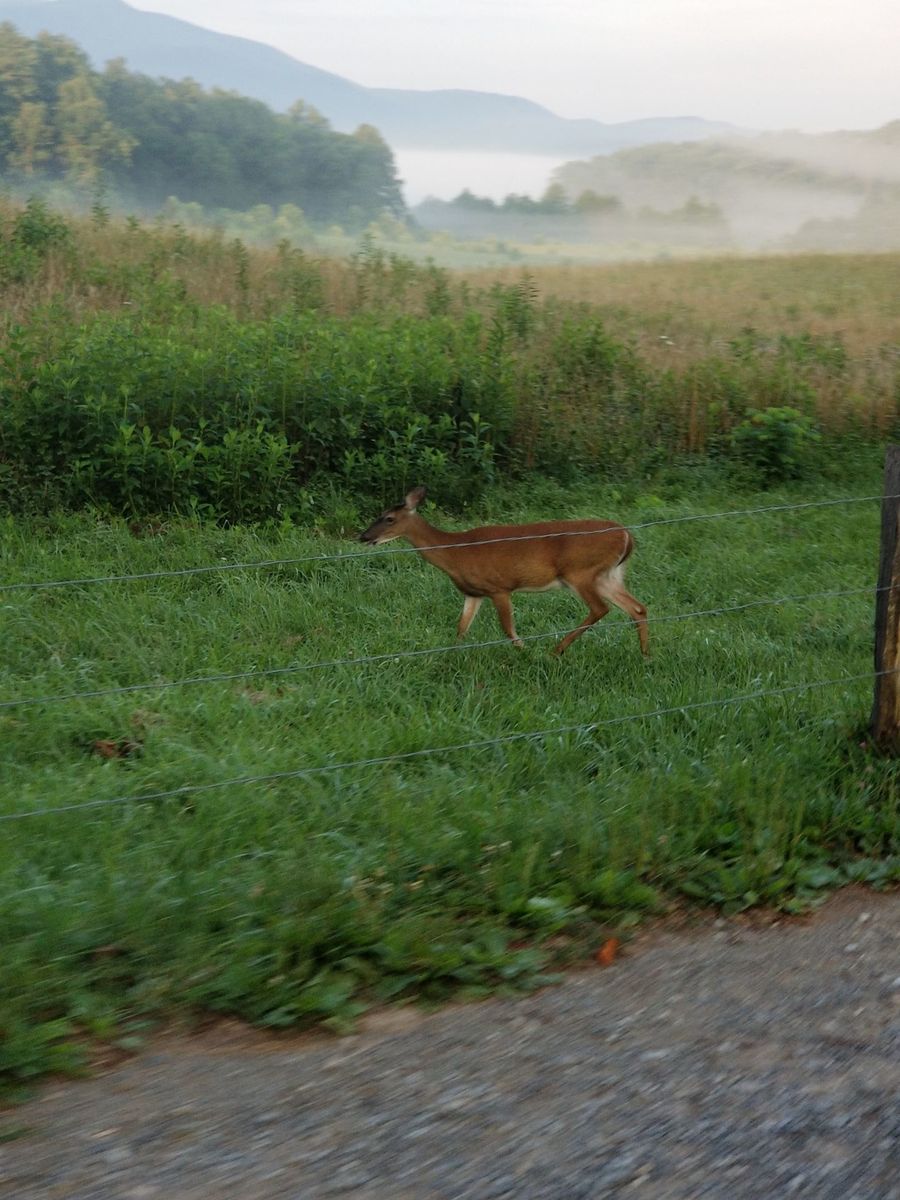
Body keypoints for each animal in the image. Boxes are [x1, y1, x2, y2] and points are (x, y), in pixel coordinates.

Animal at [358, 486, 649, 658]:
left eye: (389, 518)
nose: (364, 537)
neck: (456, 553)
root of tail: (626, 535)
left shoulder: (499, 587)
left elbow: (507, 628)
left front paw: (524, 651)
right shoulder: (473, 593)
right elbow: (461, 628)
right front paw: (452, 654)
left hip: (581, 572)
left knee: (601, 608)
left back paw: (556, 650)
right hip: (608, 575)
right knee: (637, 608)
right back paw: (645, 655)